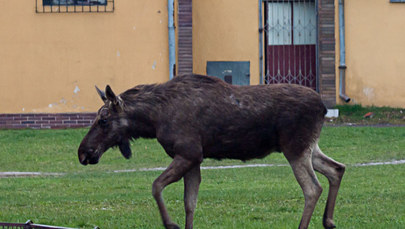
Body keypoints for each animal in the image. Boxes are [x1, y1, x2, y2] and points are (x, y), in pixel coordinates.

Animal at [78, 74, 344, 228]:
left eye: (103, 120)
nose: (83, 152)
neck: (153, 121)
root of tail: (323, 107)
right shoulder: (194, 160)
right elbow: (190, 203)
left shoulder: (189, 153)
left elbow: (156, 186)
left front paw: (170, 224)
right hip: (309, 147)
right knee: (336, 169)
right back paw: (329, 221)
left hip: (295, 148)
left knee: (313, 188)